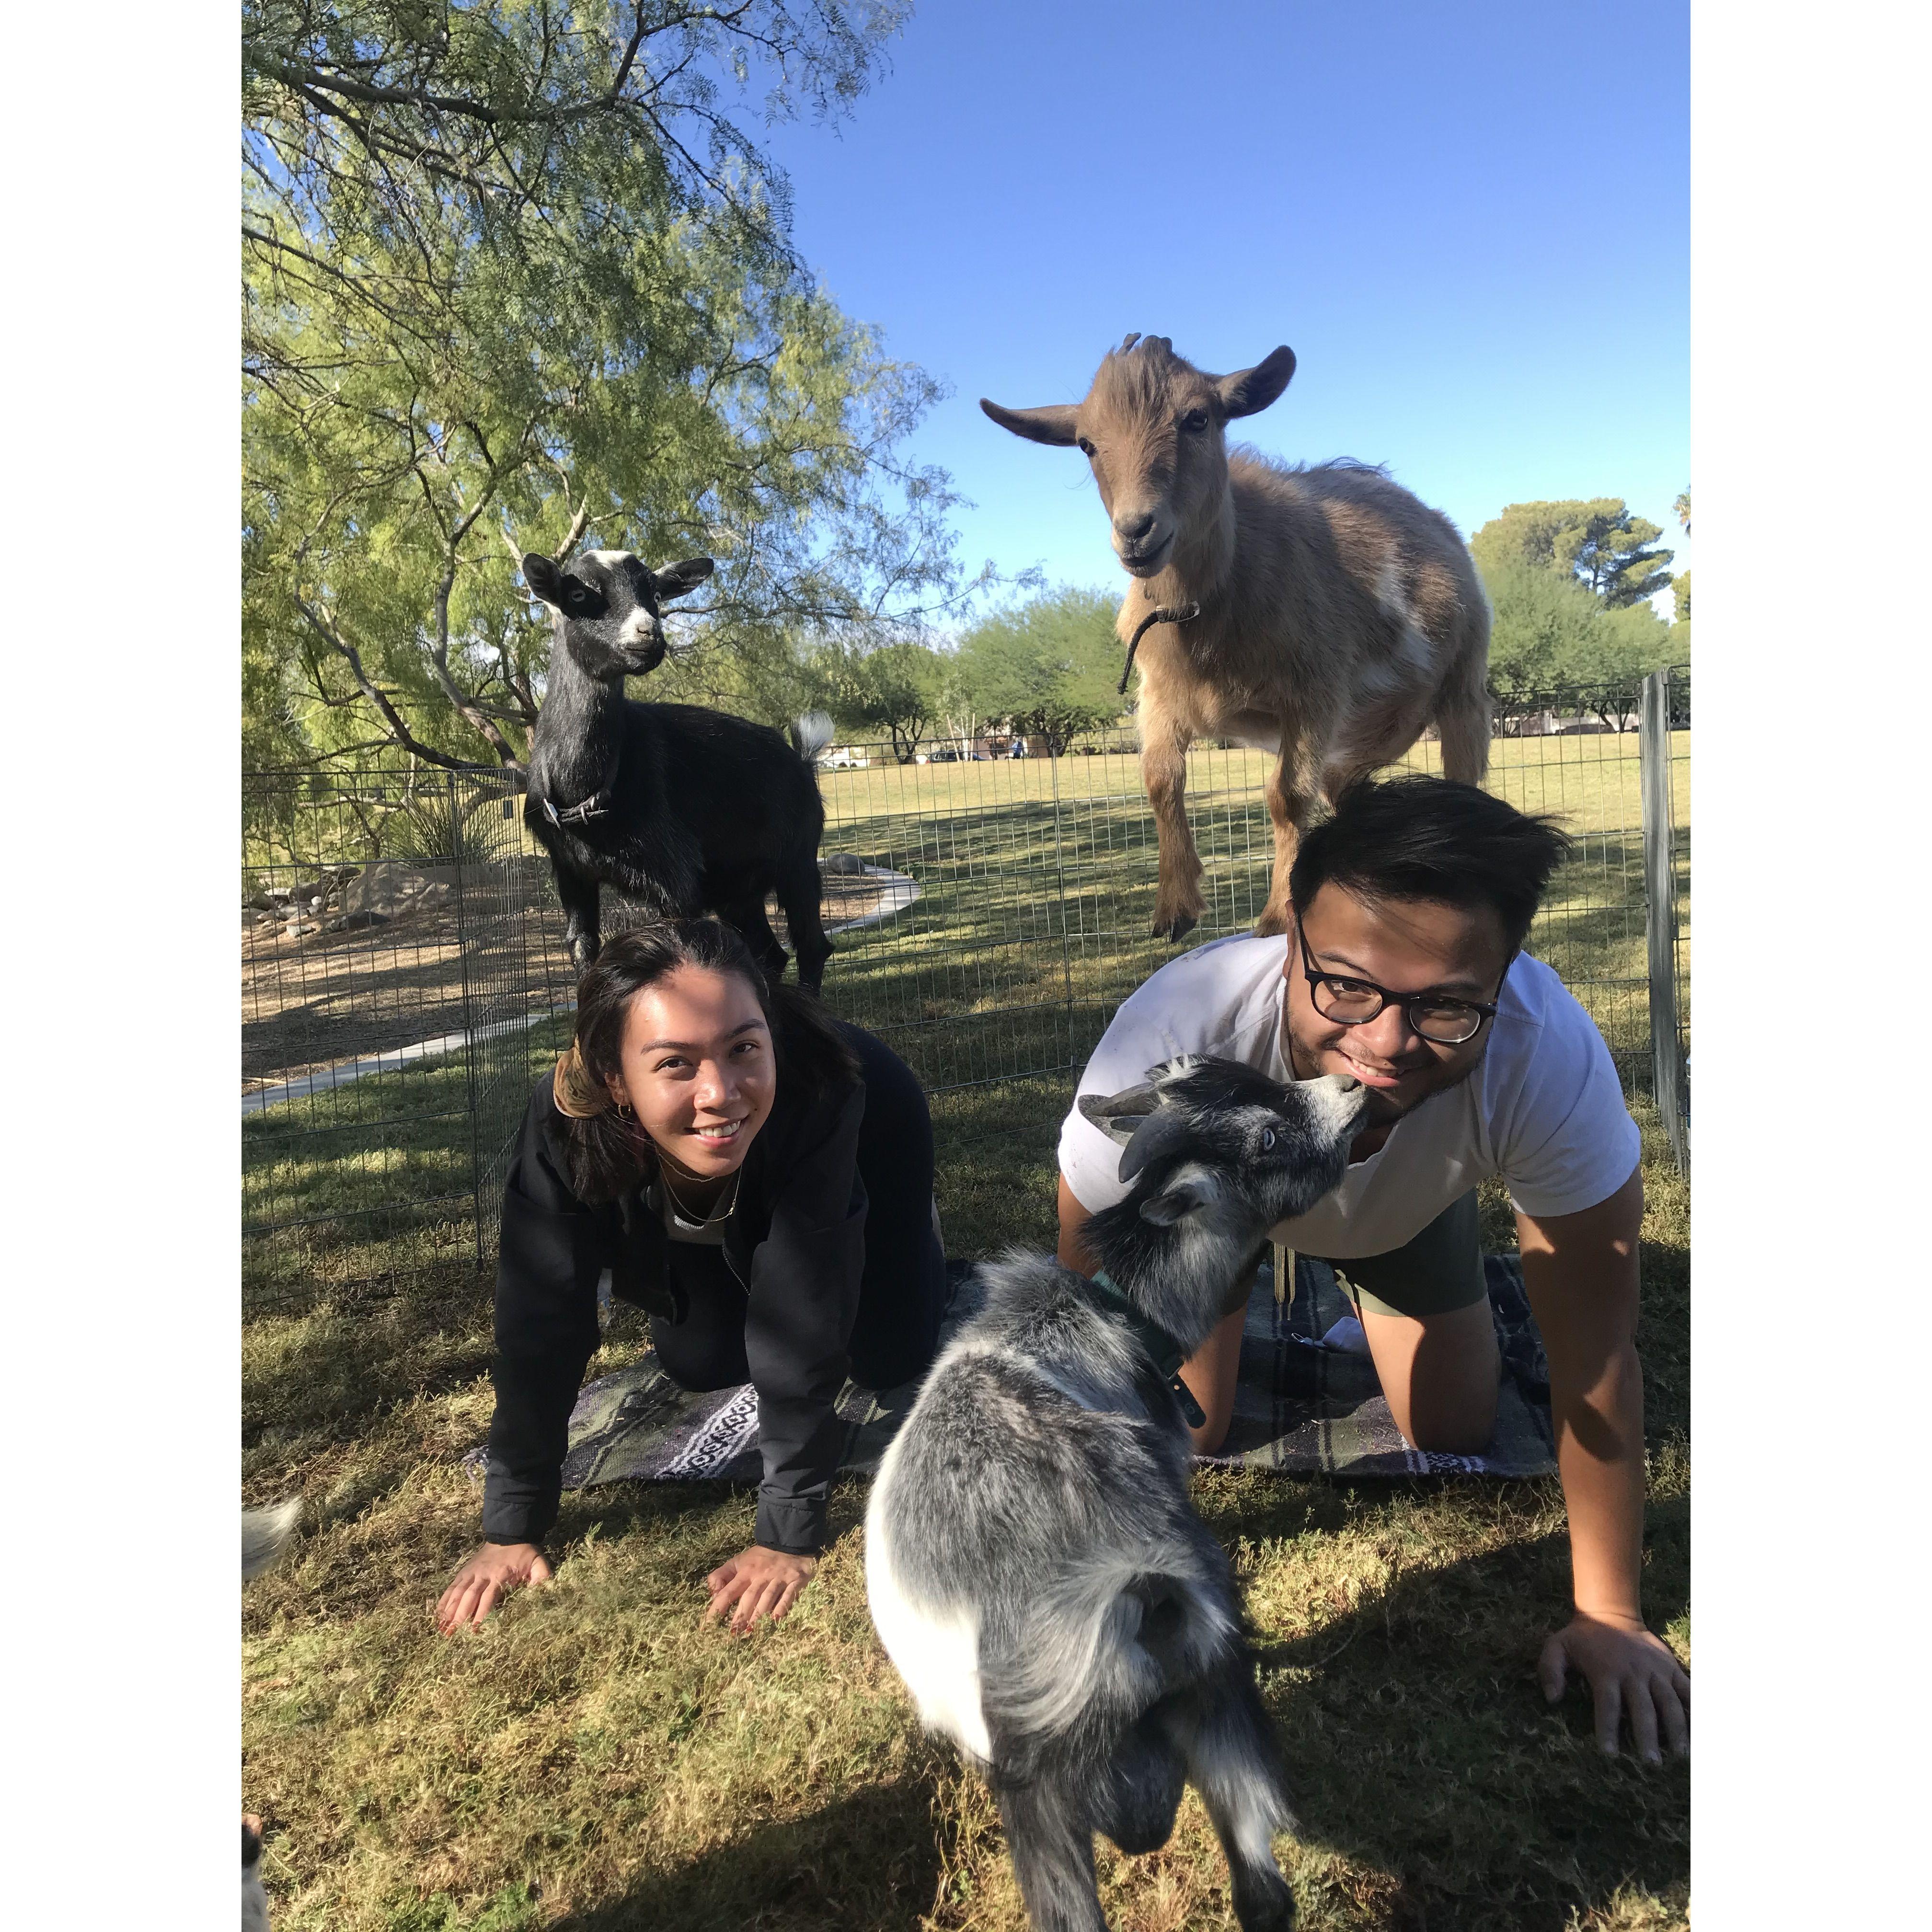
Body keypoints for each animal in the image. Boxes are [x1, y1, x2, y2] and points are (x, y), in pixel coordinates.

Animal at [521, 549, 835, 989]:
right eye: (579, 594)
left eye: (655, 593)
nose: (648, 634)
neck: (586, 795)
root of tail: (803, 760)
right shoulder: (571, 872)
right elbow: (582, 948)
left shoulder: (676, 875)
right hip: (736, 887)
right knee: (770, 953)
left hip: (798, 857)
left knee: (811, 946)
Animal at [983, 336, 1491, 941]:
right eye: (1086, 443)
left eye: (1198, 418)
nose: (1136, 533)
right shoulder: (1160, 698)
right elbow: (1160, 781)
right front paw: (1175, 910)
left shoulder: (1314, 696)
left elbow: (1285, 797)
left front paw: (1277, 916)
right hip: (1358, 744)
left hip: (1462, 691)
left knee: (1464, 782)